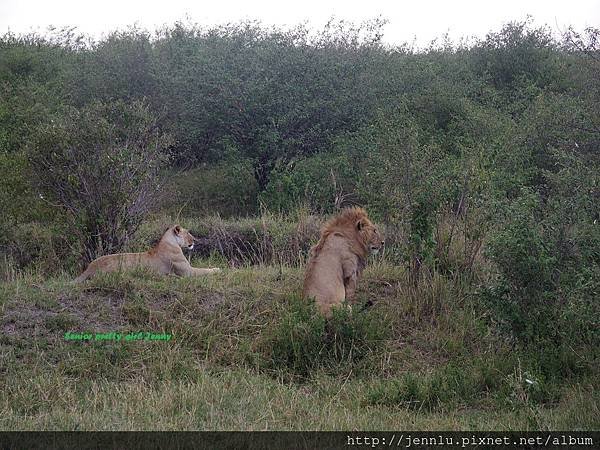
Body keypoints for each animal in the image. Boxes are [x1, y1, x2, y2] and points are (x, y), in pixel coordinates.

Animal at [74, 225, 220, 282]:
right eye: (188, 233)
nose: (194, 241)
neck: (170, 241)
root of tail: (90, 267)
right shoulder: (188, 272)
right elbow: (204, 270)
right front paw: (218, 269)